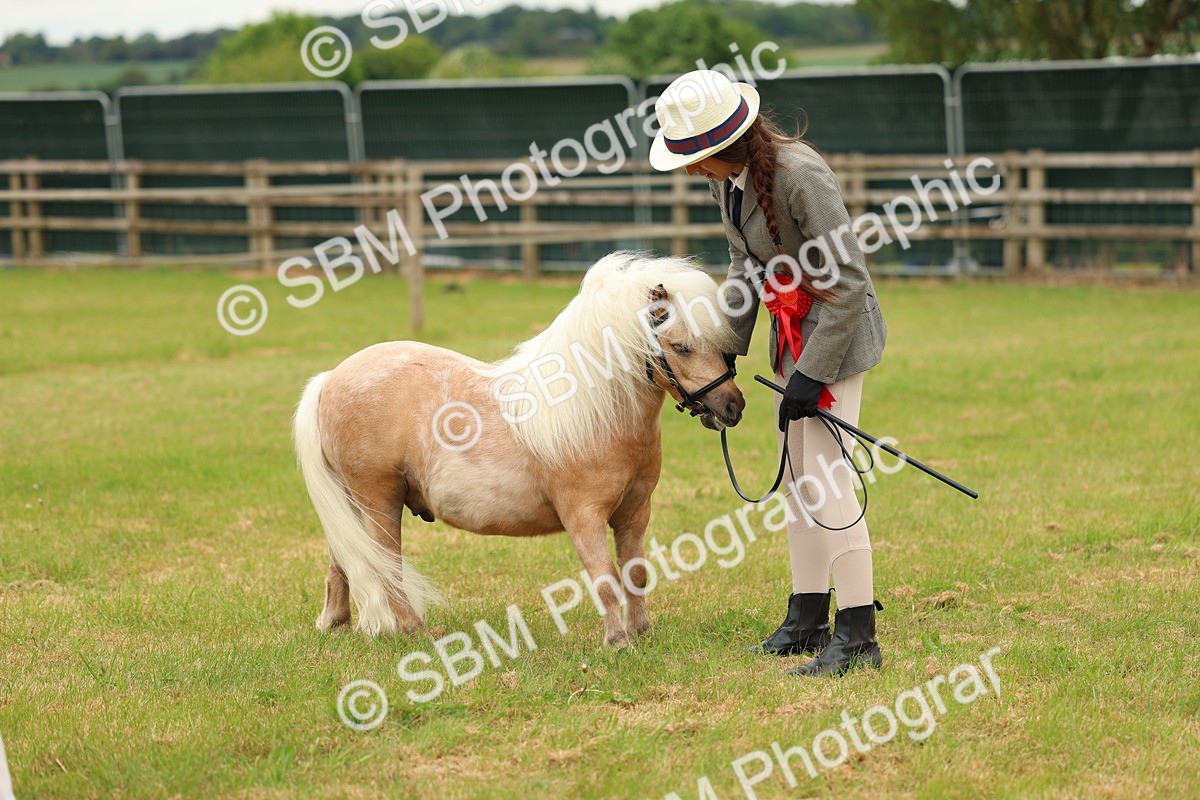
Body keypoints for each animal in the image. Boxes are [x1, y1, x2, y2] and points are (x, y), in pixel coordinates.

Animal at [293, 252, 746, 646]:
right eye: (681, 346)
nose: (733, 407)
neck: (595, 414)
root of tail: (331, 378)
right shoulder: (583, 517)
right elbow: (604, 579)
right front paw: (618, 641)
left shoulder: (634, 514)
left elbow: (635, 575)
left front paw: (642, 632)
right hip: (378, 499)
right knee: (385, 566)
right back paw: (416, 632)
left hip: (355, 502)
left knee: (344, 557)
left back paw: (336, 623)